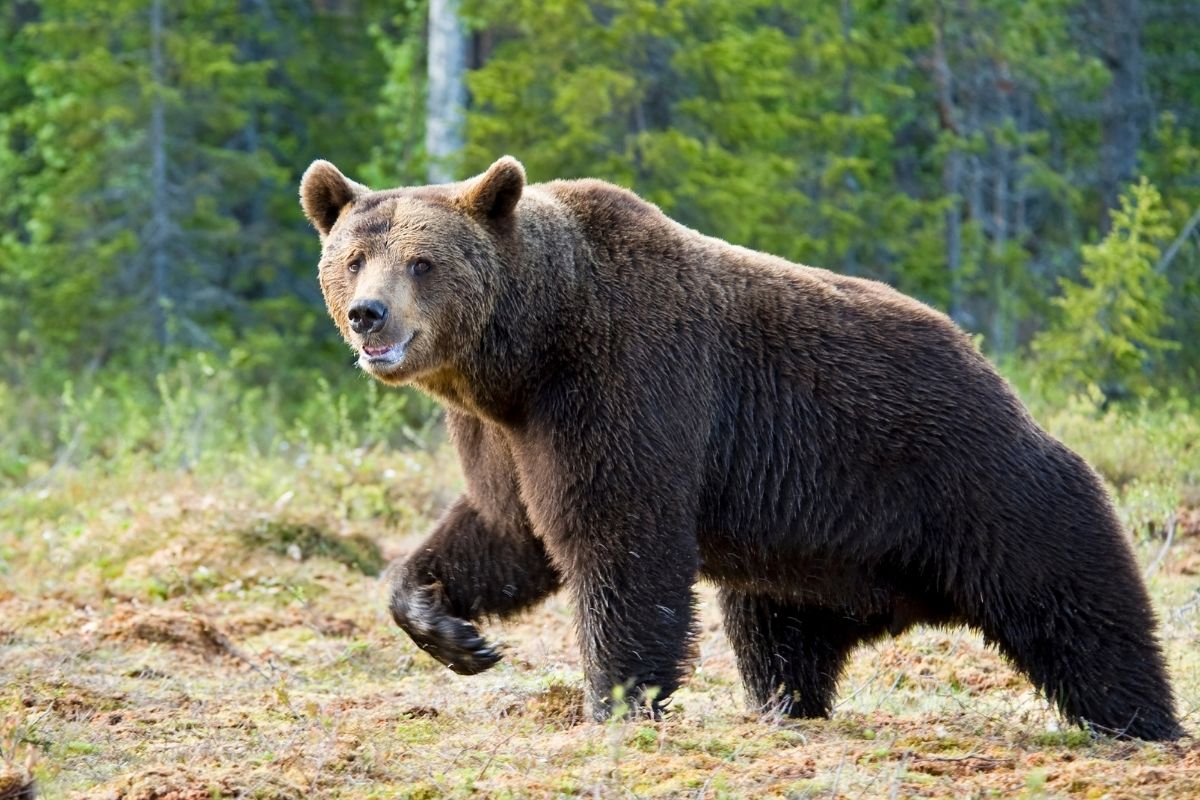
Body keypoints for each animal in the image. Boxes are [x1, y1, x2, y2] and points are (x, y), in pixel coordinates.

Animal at [297, 154, 1180, 738]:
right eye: (352, 257)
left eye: (422, 260)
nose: (369, 315)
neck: (527, 351)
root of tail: (989, 369)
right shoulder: (503, 433)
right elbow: (504, 532)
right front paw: (453, 631)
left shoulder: (624, 383)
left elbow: (619, 539)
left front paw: (613, 703)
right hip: (809, 551)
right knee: (777, 638)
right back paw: (783, 709)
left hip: (975, 479)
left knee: (1078, 604)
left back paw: (1141, 722)